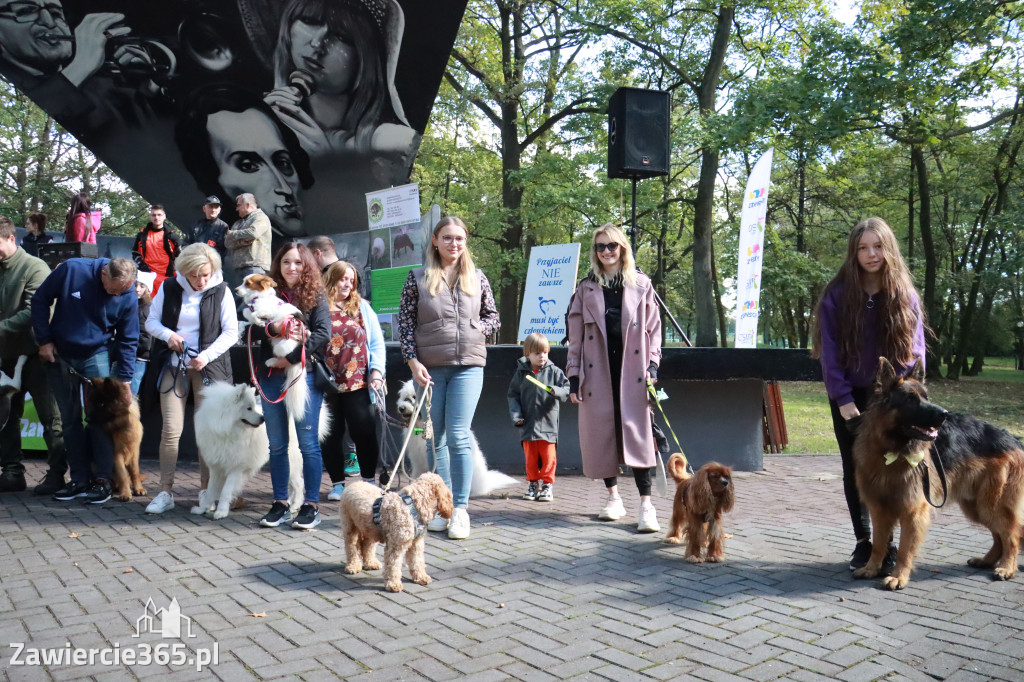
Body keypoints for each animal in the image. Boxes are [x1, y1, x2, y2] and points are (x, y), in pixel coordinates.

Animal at [192, 378, 331, 518]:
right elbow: (210, 491)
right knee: (294, 484)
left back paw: (295, 506)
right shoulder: (216, 466)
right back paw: (290, 503)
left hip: (291, 462)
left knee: (299, 484)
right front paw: (203, 508)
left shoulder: (236, 468)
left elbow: (226, 491)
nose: (263, 418)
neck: (225, 430)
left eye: (253, 407)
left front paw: (221, 511)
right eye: (249, 408)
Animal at [847, 358, 1024, 585]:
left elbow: (904, 548)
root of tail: (1014, 439)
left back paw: (1007, 568)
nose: (944, 414)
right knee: (999, 535)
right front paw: (871, 569)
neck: (892, 451)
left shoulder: (913, 511)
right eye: (911, 399)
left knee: (1011, 535)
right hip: (976, 506)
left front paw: (898, 577)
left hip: (991, 503)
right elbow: (878, 544)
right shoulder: (879, 509)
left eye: (926, 397)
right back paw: (987, 561)